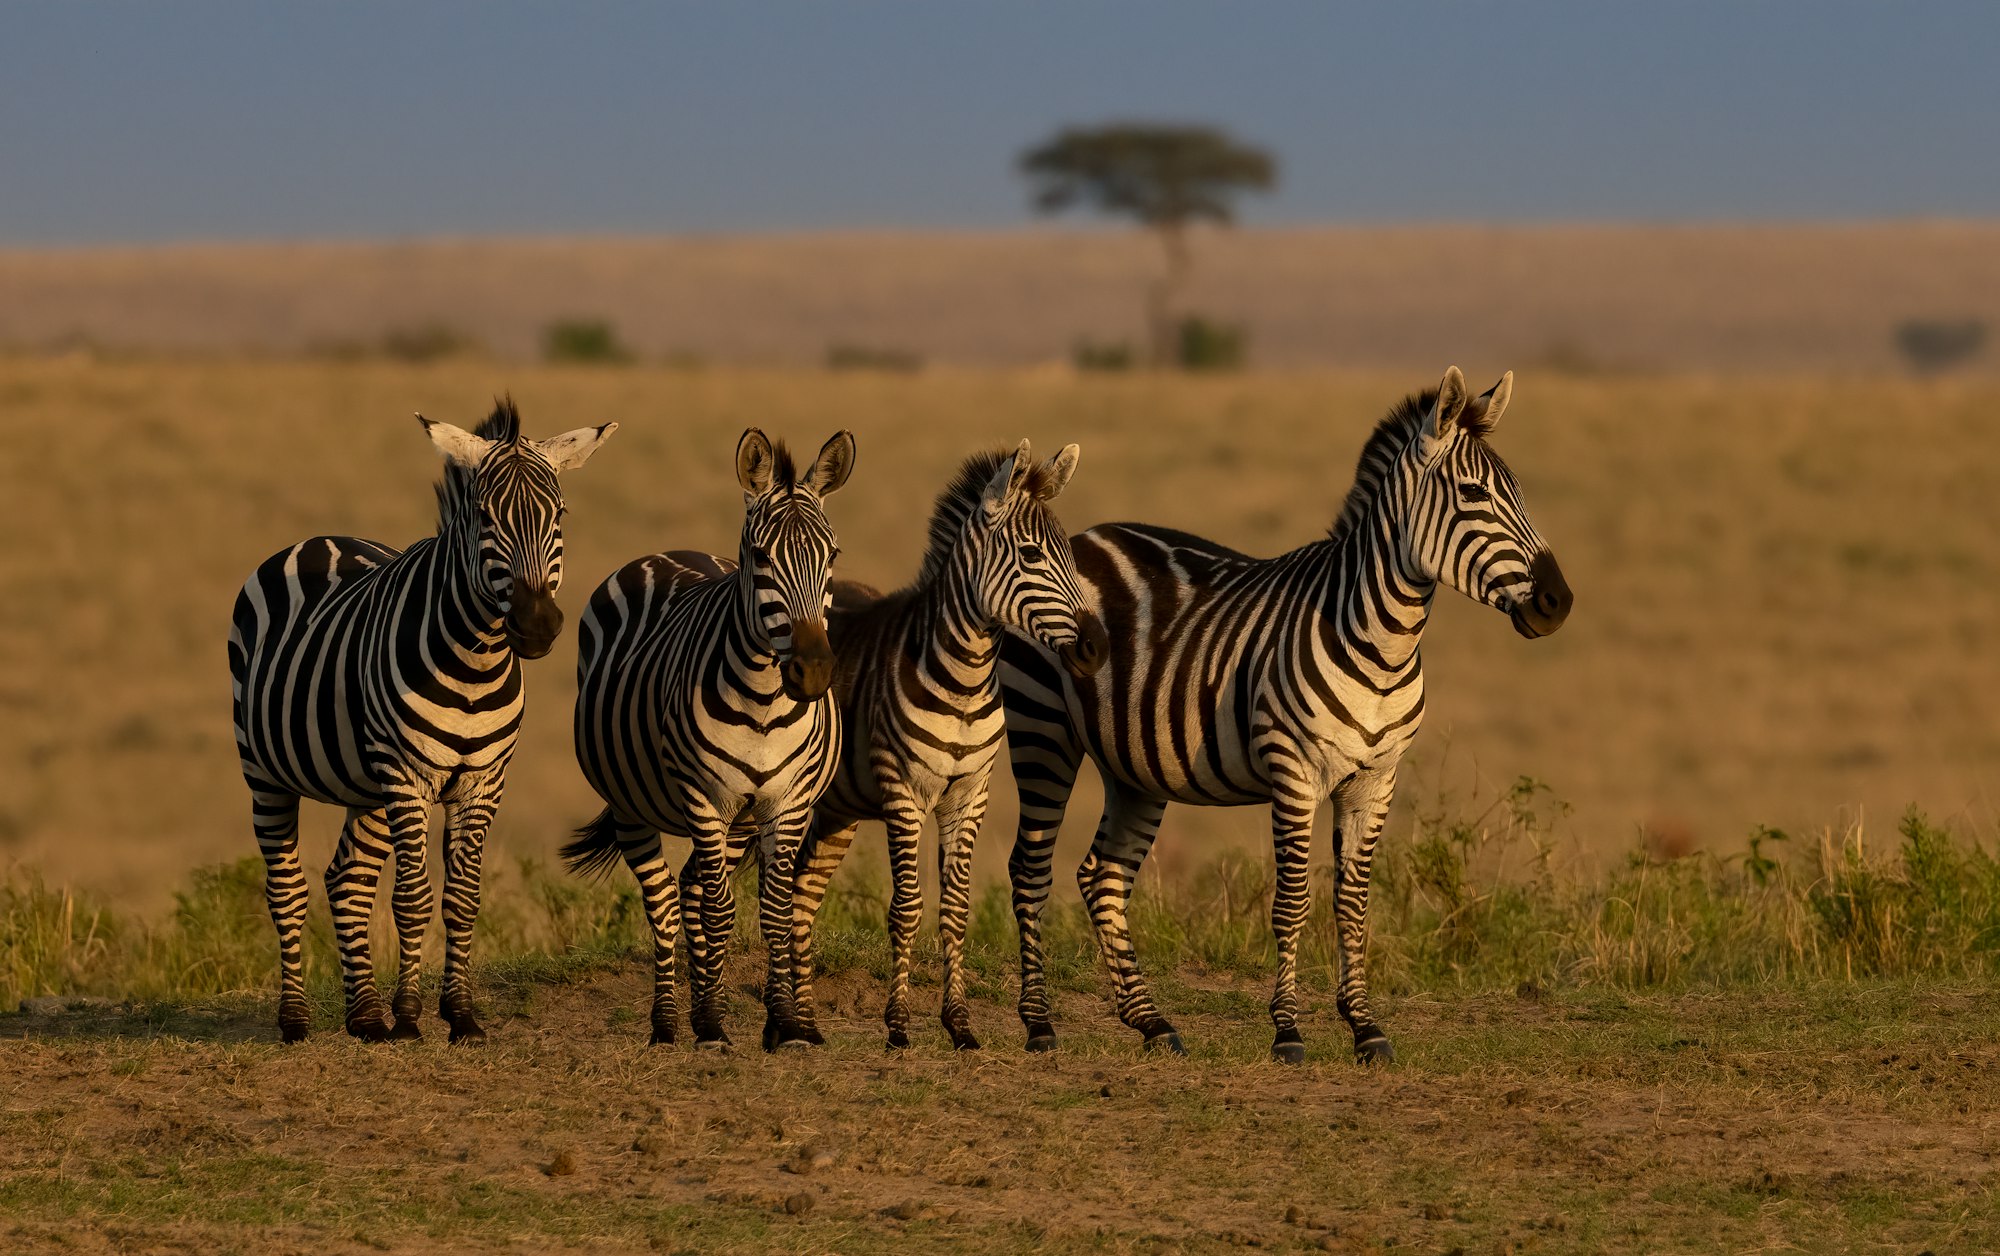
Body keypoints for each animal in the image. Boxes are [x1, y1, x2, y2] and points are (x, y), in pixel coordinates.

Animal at [229, 400, 616, 1040]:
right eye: (484, 516)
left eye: (559, 515)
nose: (537, 625)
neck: (475, 664)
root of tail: (320, 539)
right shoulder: (408, 776)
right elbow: (412, 899)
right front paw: (410, 1017)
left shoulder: (483, 781)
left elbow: (462, 898)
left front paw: (459, 1014)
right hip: (265, 770)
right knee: (287, 888)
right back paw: (296, 1019)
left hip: (366, 785)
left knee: (348, 880)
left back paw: (365, 1017)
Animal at [560, 432, 856, 1048]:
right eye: (762, 558)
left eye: (833, 556)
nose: (813, 673)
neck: (764, 701)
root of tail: (666, 553)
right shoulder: (703, 797)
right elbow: (719, 912)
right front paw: (717, 1025)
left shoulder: (785, 803)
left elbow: (774, 910)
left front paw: (783, 1023)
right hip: (634, 805)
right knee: (666, 902)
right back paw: (669, 1022)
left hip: (737, 822)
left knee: (694, 886)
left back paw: (698, 1008)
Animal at [780, 442, 1112, 1048]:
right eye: (1032, 555)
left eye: (1071, 557)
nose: (1096, 648)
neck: (966, 676)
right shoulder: (903, 792)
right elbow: (906, 907)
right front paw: (897, 1025)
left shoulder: (969, 793)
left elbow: (955, 908)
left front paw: (958, 1024)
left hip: (835, 808)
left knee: (801, 893)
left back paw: (806, 1021)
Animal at [1008, 368, 1568, 1064]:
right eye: (1472, 494)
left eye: (1518, 490)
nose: (1559, 602)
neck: (1383, 643)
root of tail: (1082, 537)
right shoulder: (1294, 773)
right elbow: (1293, 902)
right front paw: (1288, 1030)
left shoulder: (1376, 781)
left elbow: (1353, 903)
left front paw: (1365, 1027)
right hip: (1042, 731)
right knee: (1030, 870)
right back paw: (1039, 1025)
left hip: (1133, 766)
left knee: (1102, 877)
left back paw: (1152, 1023)